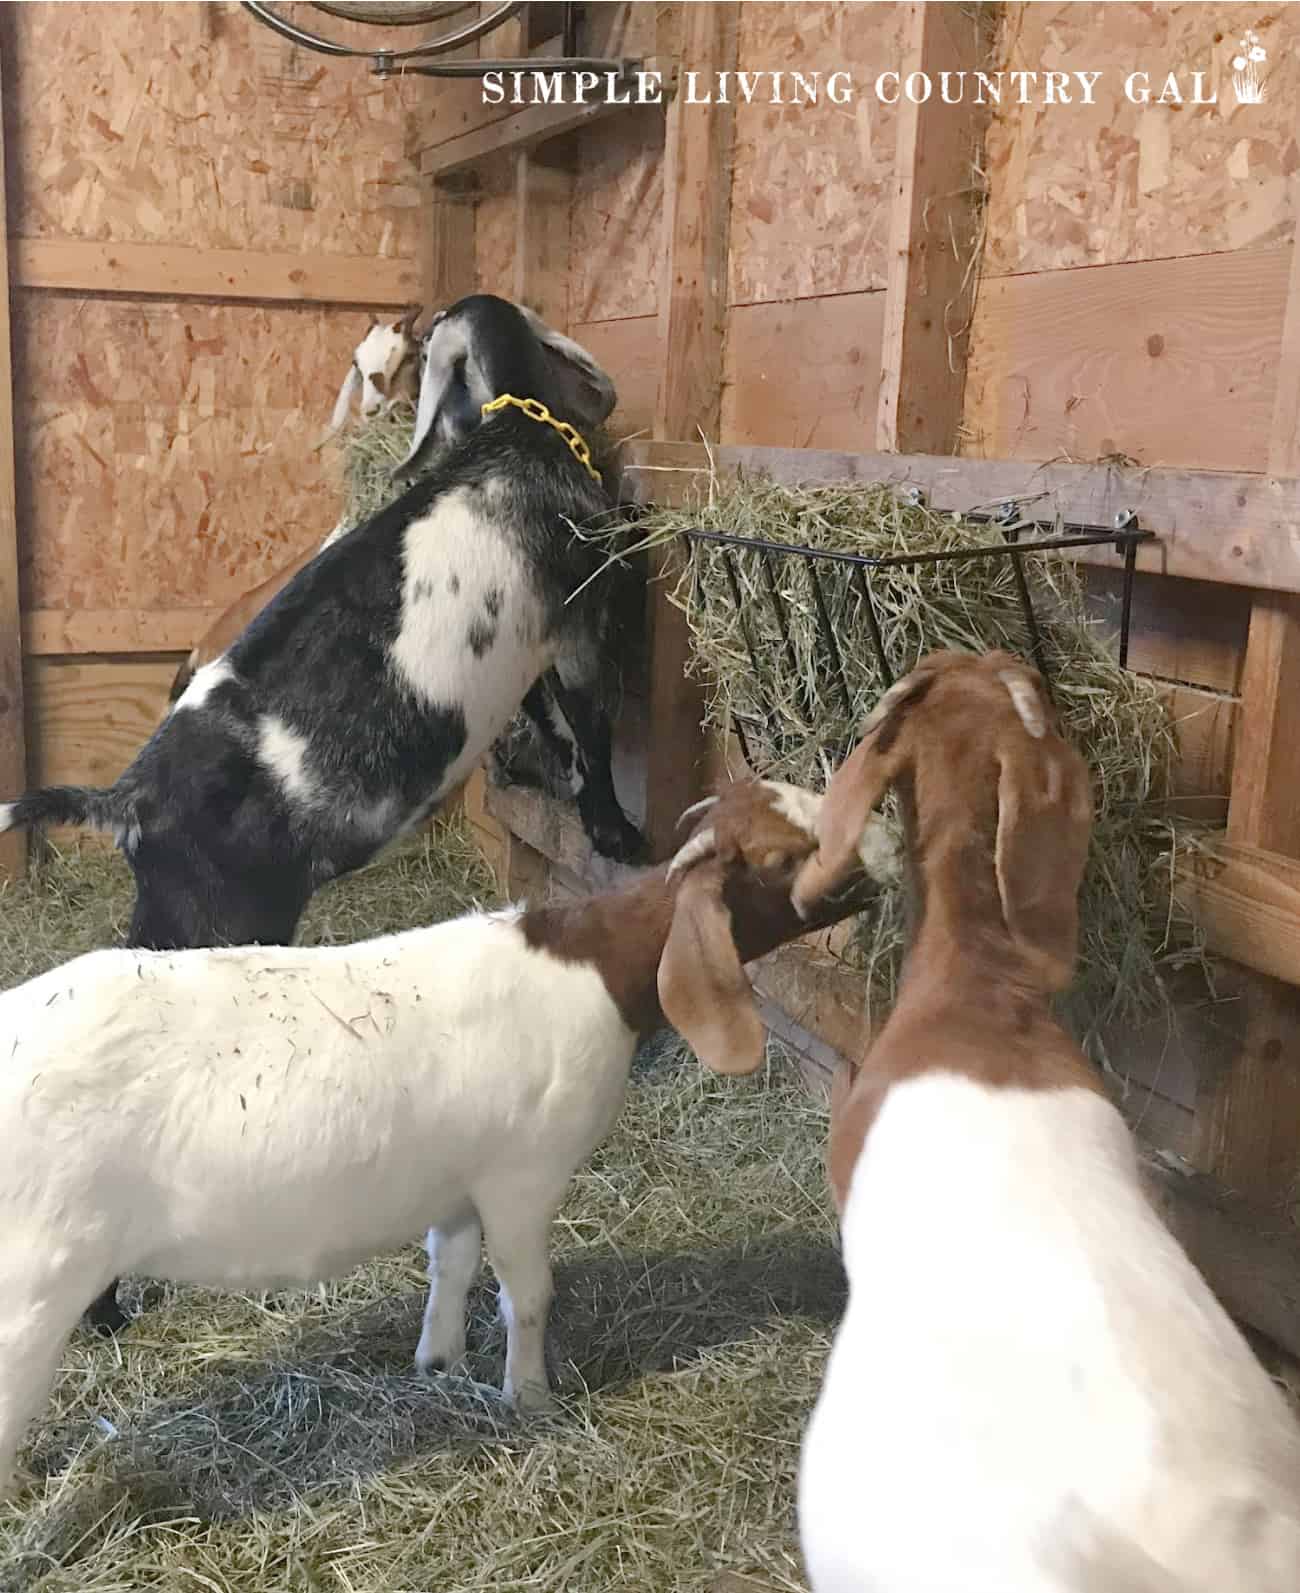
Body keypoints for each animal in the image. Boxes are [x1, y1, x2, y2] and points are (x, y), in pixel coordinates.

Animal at [0, 778, 896, 1497]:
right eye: (784, 855)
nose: (886, 843)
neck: (599, 968)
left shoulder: (460, 1181)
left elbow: (452, 1267)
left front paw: (440, 1364)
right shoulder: (521, 1177)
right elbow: (526, 1294)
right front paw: (530, 1397)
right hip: (34, 1283)